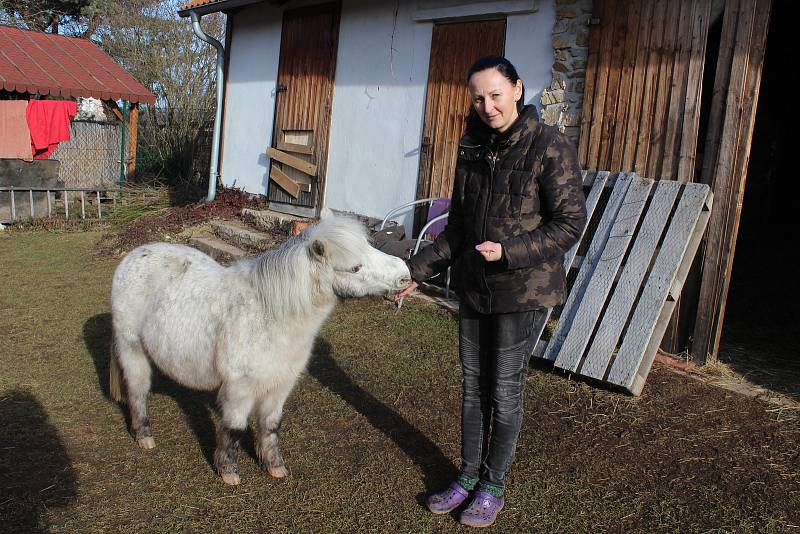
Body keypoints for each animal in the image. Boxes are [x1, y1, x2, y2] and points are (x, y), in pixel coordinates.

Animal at [109, 213, 410, 486]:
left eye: (371, 247)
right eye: (355, 267)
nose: (405, 276)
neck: (268, 314)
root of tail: (132, 256)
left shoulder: (280, 385)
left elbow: (271, 425)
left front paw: (275, 466)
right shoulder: (239, 389)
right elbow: (234, 428)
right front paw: (229, 472)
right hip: (132, 350)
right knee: (137, 392)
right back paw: (145, 438)